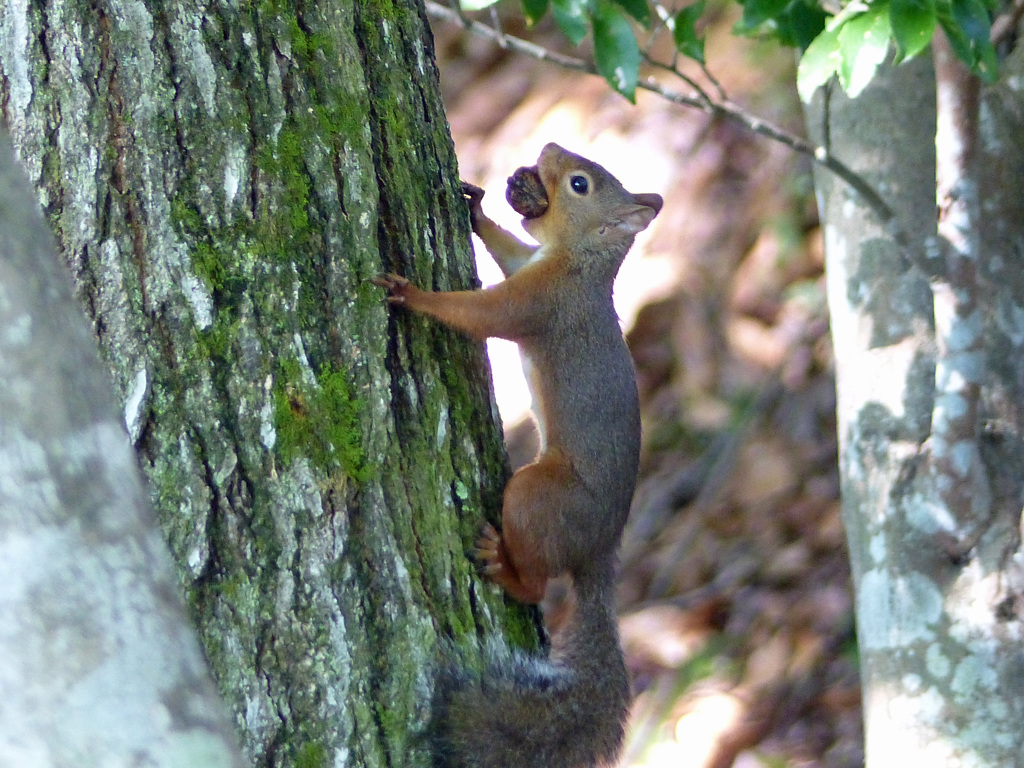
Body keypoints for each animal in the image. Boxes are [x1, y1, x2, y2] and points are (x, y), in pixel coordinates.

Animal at [372, 144, 659, 768]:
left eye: (579, 184)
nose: (547, 149)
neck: (580, 262)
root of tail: (601, 551)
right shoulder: (530, 264)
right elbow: (508, 252)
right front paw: (475, 207)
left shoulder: (539, 302)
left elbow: (482, 314)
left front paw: (412, 294)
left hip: (537, 496)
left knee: (535, 582)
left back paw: (502, 565)